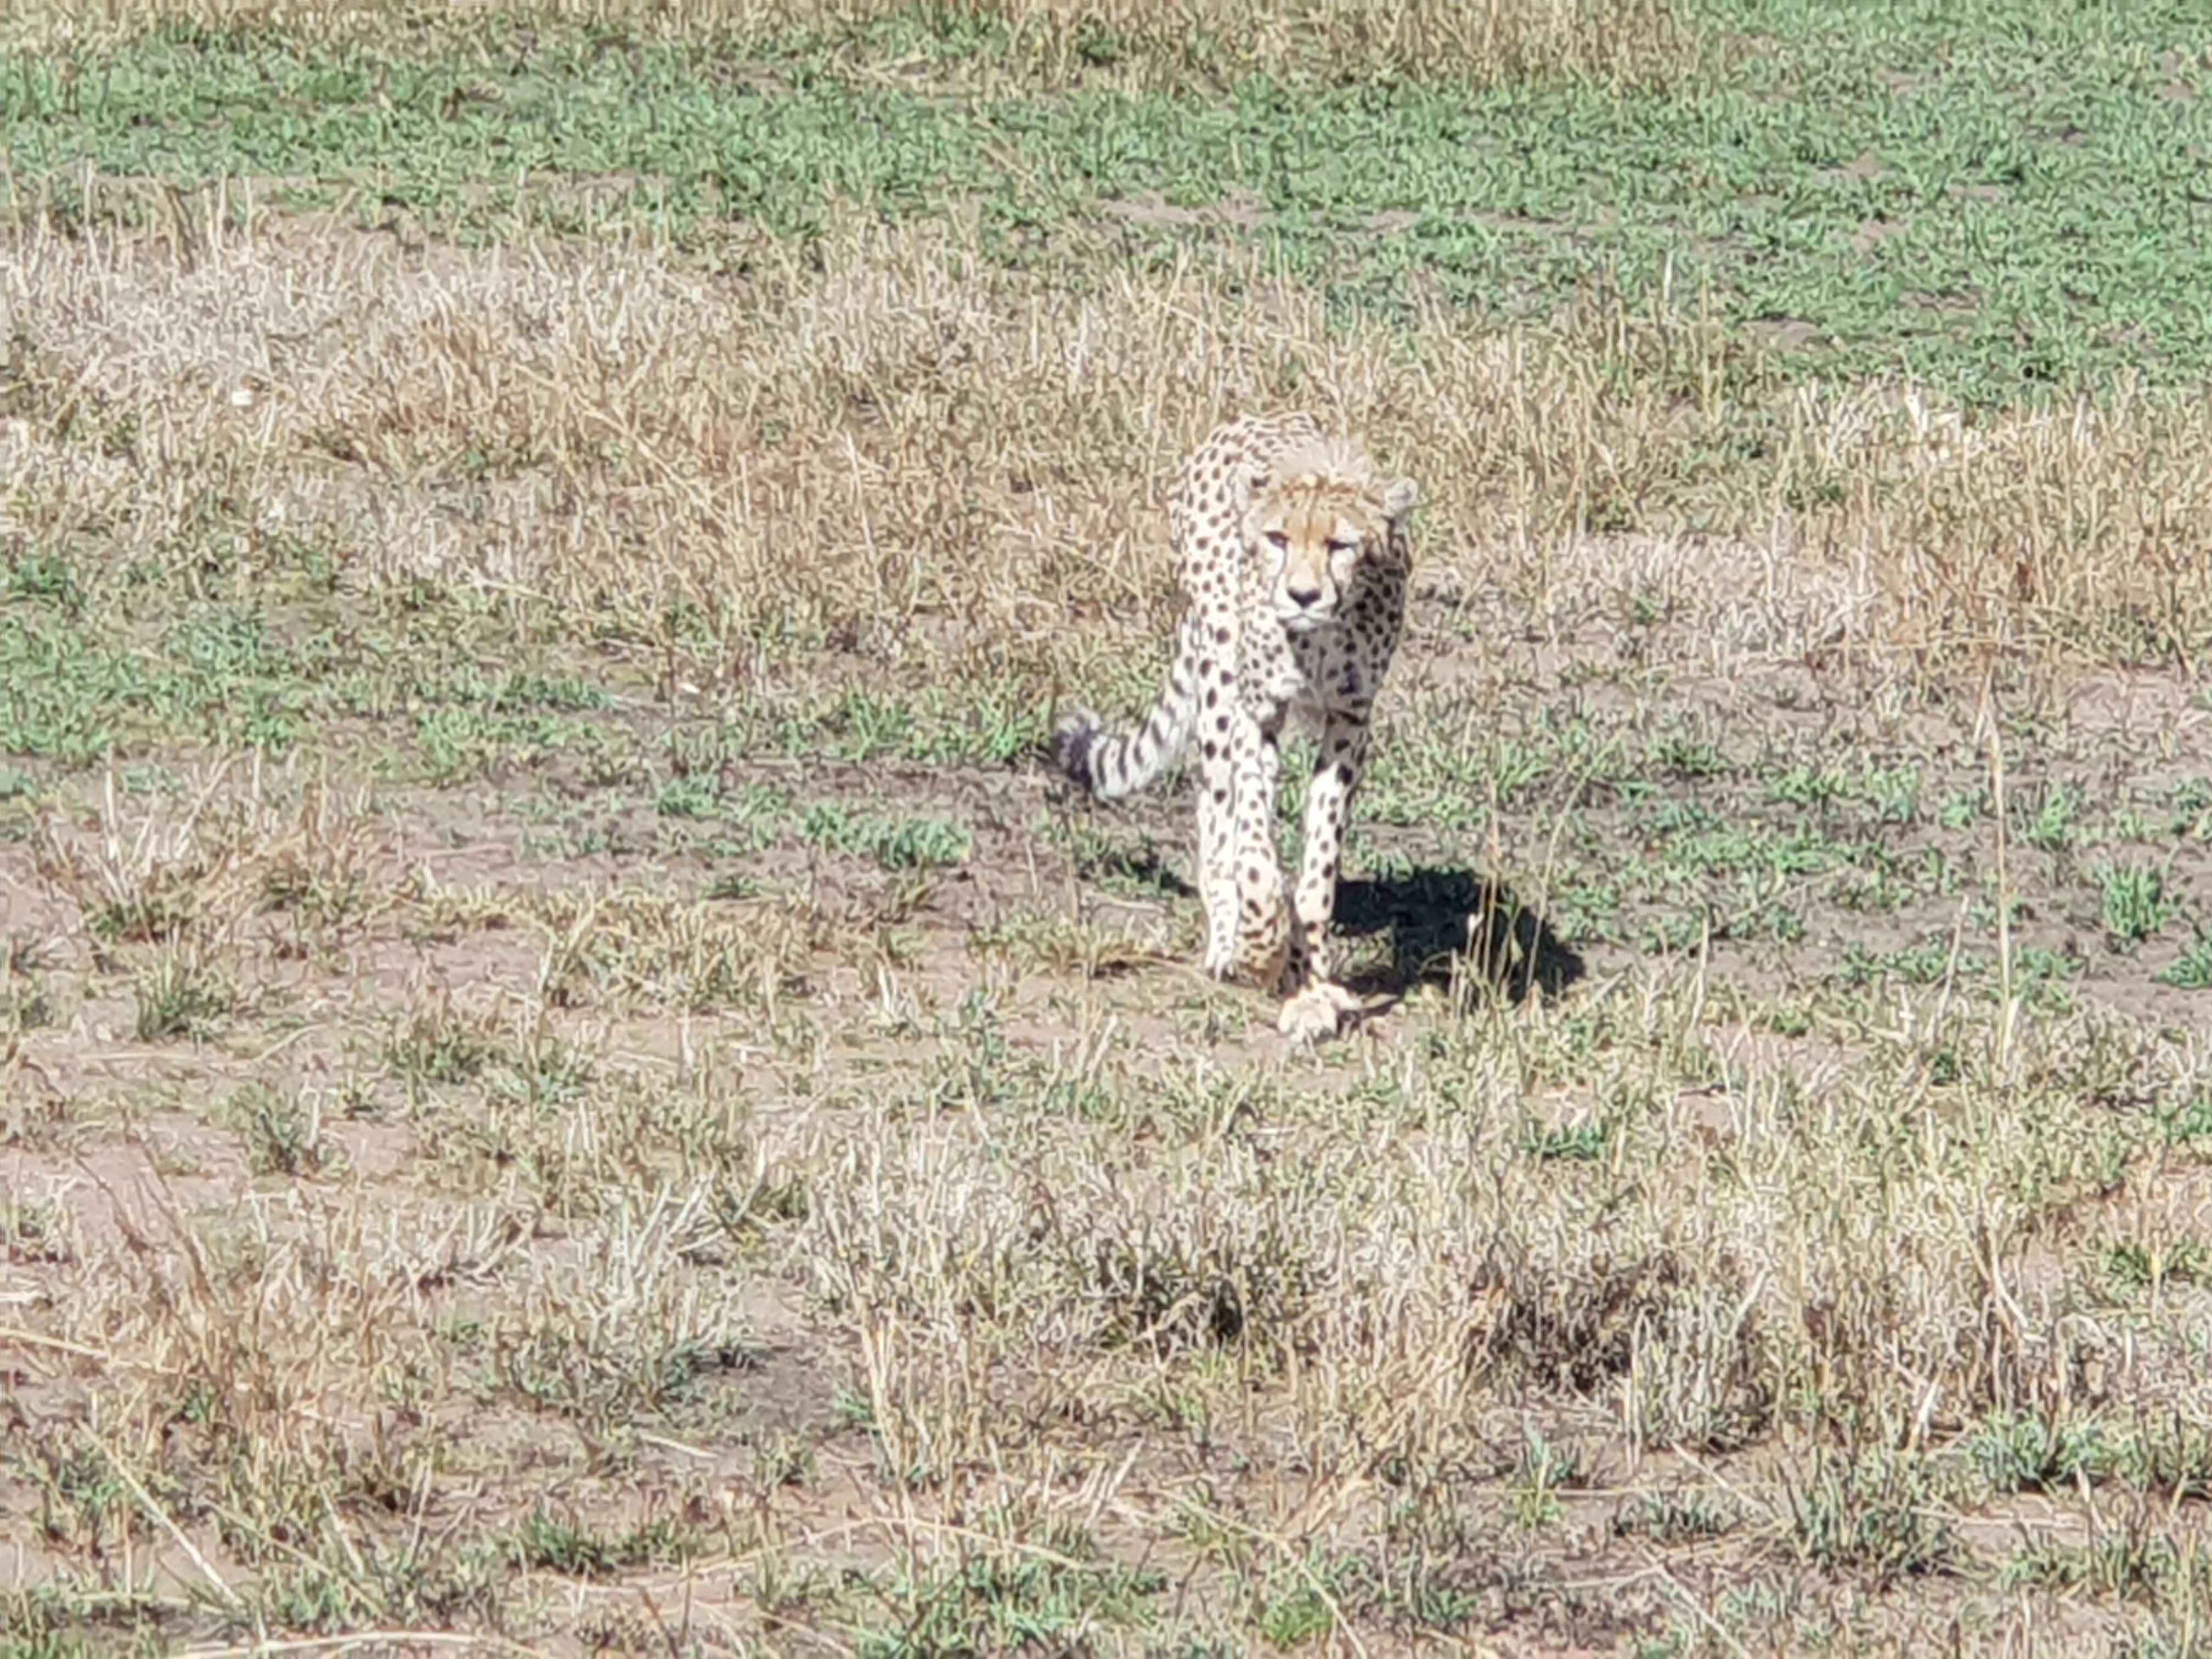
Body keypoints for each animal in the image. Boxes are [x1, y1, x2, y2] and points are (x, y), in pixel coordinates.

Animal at [1052, 412, 1419, 1042]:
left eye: (1340, 545)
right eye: (1277, 540)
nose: (1303, 595)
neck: (1319, 640)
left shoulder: (1350, 721)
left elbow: (1318, 870)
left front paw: (1313, 987)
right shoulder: (1258, 712)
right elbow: (1253, 848)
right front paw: (1263, 949)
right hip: (1219, 676)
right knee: (1214, 815)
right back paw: (1228, 941)